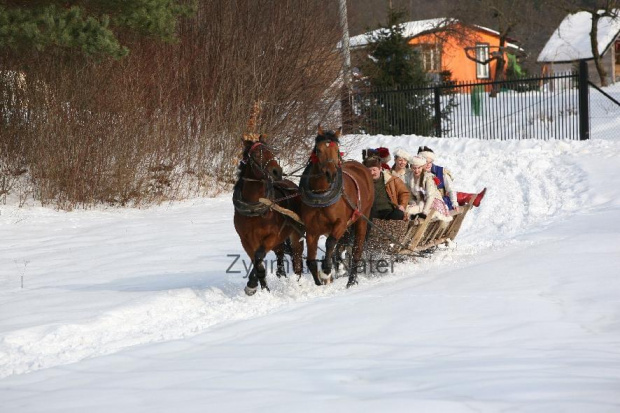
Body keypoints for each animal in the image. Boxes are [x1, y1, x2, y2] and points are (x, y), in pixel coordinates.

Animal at [232, 137, 302, 294]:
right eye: (256, 154)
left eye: (271, 151)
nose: (277, 171)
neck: (254, 209)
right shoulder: (245, 240)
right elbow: (257, 263)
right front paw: (262, 288)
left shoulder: (272, 236)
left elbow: (258, 256)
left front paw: (251, 284)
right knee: (280, 254)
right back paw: (282, 275)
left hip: (295, 235)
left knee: (297, 257)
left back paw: (298, 282)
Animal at [300, 125, 372, 286]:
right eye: (319, 150)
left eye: (337, 150)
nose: (331, 173)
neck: (321, 193)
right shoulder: (312, 230)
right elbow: (311, 261)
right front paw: (319, 281)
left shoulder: (341, 224)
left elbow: (330, 242)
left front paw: (326, 270)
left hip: (361, 218)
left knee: (356, 250)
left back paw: (351, 280)